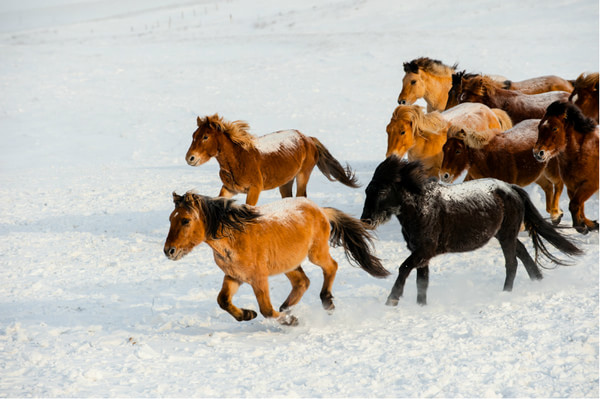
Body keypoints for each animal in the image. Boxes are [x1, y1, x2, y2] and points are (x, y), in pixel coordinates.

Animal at [164, 192, 390, 326]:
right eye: (170, 219)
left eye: (185, 220)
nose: (169, 251)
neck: (235, 237)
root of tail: (320, 210)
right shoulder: (234, 276)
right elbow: (223, 300)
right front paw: (247, 315)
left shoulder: (258, 278)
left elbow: (266, 309)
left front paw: (291, 321)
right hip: (289, 263)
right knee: (302, 282)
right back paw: (286, 307)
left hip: (315, 253)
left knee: (331, 267)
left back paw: (326, 302)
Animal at [185, 113, 358, 205]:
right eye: (193, 135)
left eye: (205, 137)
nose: (190, 158)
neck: (239, 160)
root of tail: (308, 138)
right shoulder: (229, 189)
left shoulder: (254, 190)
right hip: (286, 182)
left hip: (303, 175)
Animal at [360, 157, 580, 306]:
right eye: (367, 190)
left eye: (382, 190)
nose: (366, 220)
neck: (421, 207)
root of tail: (511, 188)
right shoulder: (421, 253)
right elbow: (422, 281)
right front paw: (420, 305)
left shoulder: (425, 251)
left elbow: (404, 268)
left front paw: (392, 299)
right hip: (504, 234)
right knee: (523, 254)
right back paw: (537, 281)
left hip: (507, 236)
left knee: (512, 263)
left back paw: (506, 292)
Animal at [532, 100, 596, 236]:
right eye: (539, 126)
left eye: (555, 128)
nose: (538, 153)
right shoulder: (572, 186)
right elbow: (579, 205)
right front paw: (588, 225)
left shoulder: (590, 185)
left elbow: (574, 204)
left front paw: (580, 226)